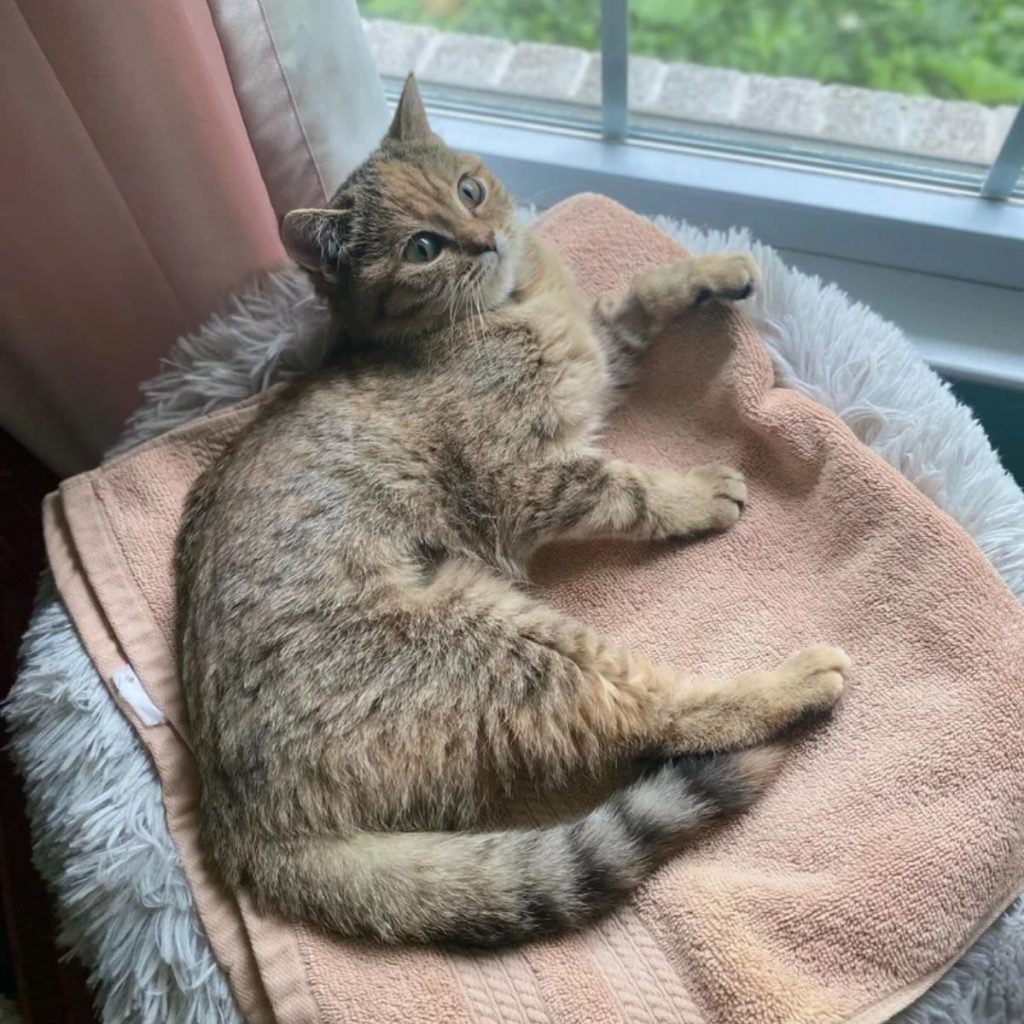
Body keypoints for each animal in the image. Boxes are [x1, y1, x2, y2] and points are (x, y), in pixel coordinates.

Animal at [176, 75, 847, 946]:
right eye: (424, 248)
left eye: (469, 189)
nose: (486, 238)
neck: (513, 306)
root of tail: (246, 830)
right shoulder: (525, 477)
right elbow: (624, 488)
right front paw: (695, 493)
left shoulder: (598, 352)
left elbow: (634, 296)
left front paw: (715, 266)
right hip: (502, 645)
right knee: (651, 715)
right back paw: (791, 683)